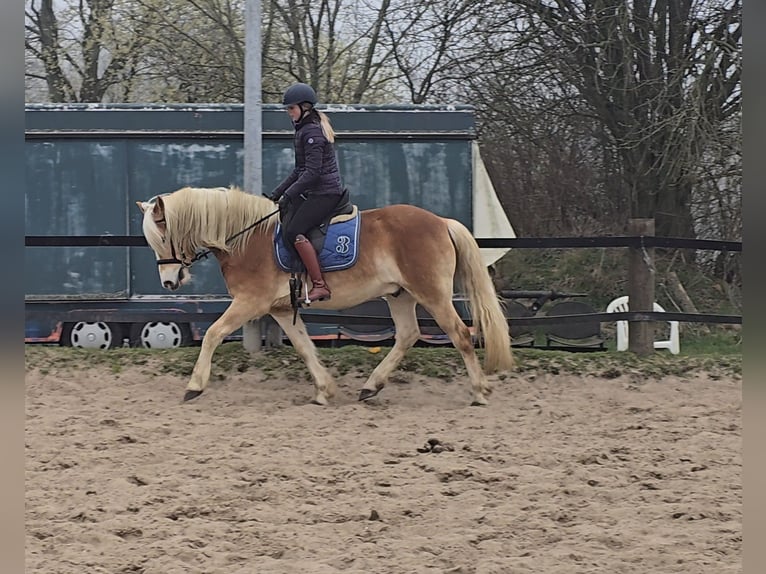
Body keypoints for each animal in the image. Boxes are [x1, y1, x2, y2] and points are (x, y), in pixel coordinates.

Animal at [138, 187, 516, 408]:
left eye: (162, 238)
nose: (169, 282)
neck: (247, 238)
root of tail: (440, 221)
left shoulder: (250, 303)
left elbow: (213, 335)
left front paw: (194, 386)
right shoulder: (278, 308)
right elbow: (304, 347)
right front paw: (324, 391)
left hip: (432, 293)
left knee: (460, 335)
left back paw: (479, 391)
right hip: (400, 295)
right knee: (408, 335)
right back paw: (371, 387)